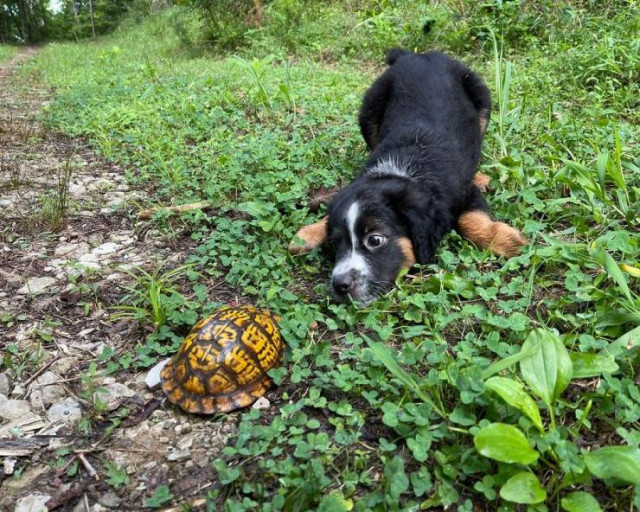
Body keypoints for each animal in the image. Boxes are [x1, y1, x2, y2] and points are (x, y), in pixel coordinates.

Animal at [290, 48, 524, 302]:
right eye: (335, 244)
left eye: (375, 240)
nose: (340, 284)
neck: (405, 167)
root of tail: (415, 54)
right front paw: (307, 233)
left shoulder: (465, 191)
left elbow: (471, 219)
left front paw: (506, 240)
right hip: (370, 111)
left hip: (481, 97)